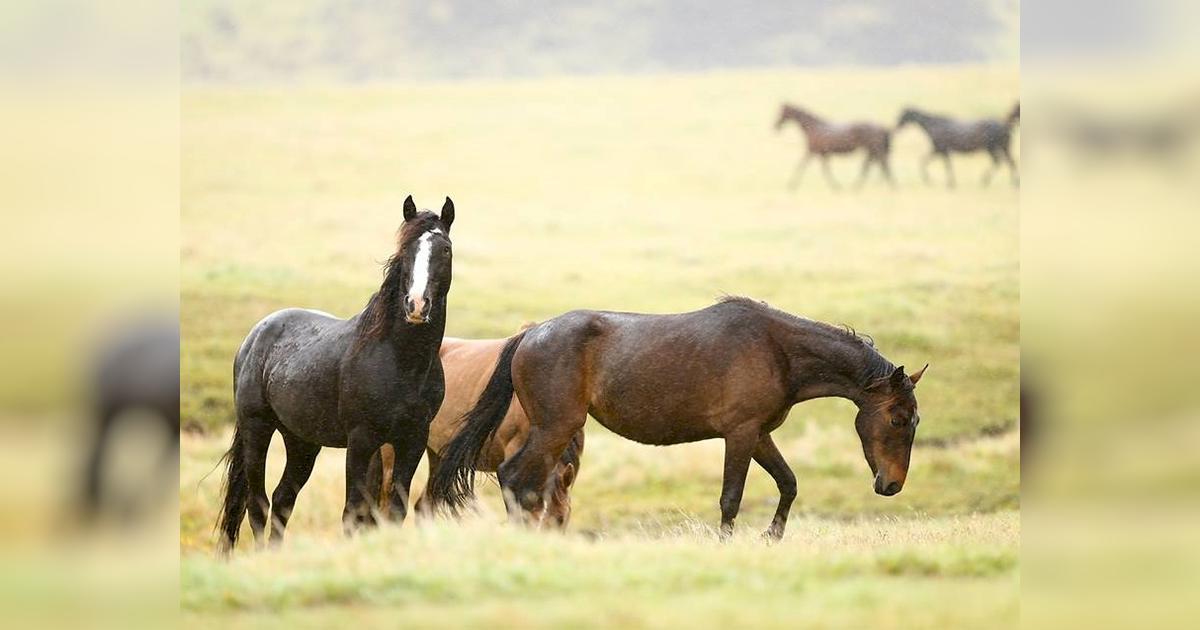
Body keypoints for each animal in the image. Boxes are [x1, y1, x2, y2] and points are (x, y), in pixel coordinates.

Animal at [215, 195, 456, 552]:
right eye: (405, 249)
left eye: (445, 250)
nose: (416, 305)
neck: (402, 362)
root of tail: (254, 336)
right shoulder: (361, 440)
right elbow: (353, 513)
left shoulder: (412, 440)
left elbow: (394, 511)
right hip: (257, 429)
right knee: (257, 502)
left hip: (301, 440)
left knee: (282, 498)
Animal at [429, 297, 928, 540]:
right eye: (899, 419)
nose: (892, 484)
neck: (777, 350)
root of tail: (529, 335)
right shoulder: (740, 434)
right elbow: (731, 498)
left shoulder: (759, 434)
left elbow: (788, 483)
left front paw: (772, 536)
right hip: (555, 428)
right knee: (517, 479)